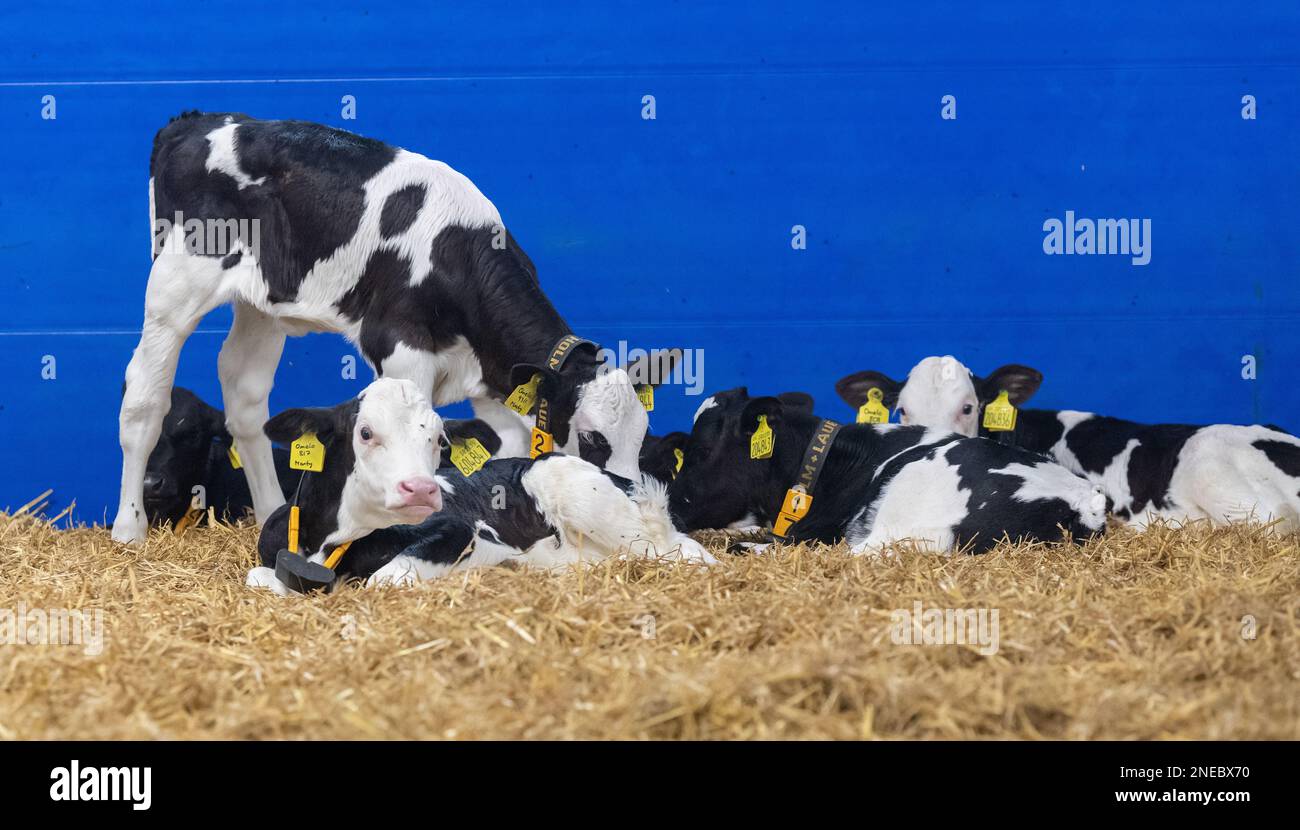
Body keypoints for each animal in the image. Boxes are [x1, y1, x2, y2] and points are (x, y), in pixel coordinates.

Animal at [114, 113, 650, 546]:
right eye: (592, 436)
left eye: (641, 434)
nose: (630, 492)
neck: (458, 256)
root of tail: (195, 121)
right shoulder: (401, 348)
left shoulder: (490, 377)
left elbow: (508, 445)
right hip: (174, 286)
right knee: (144, 399)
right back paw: (129, 528)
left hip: (261, 302)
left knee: (244, 394)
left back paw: (270, 511)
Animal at [243, 379, 712, 595]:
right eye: (365, 433)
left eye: (439, 440)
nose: (421, 489)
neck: (332, 542)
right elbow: (257, 577)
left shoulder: (458, 529)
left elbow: (384, 580)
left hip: (592, 500)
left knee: (681, 549)